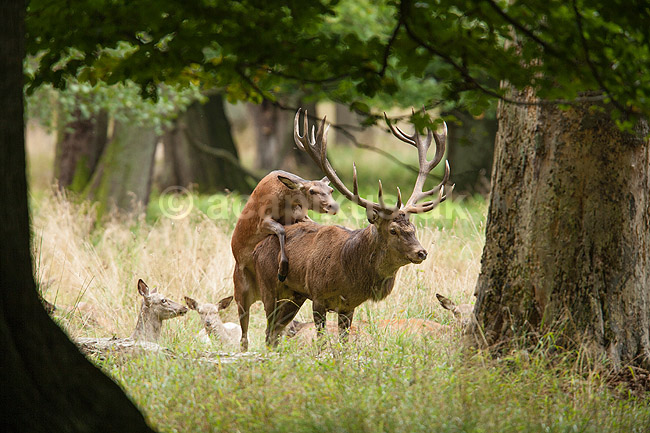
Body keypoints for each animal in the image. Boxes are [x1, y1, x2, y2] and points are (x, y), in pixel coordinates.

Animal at [230, 169, 339, 350]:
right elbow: (281, 230)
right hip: (241, 290)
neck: (286, 202)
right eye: (311, 191)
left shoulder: (302, 215)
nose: (333, 206)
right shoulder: (262, 220)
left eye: (330, 190)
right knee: (244, 335)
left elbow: (315, 225)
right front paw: (282, 270)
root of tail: (257, 295)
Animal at [251, 109, 452, 347]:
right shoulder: (317, 296)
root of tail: (258, 248)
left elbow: (344, 342)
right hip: (270, 287)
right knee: (269, 331)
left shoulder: (349, 306)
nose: (421, 252)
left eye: (412, 227)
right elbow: (321, 341)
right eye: (393, 230)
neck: (348, 272)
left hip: (294, 296)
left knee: (275, 332)